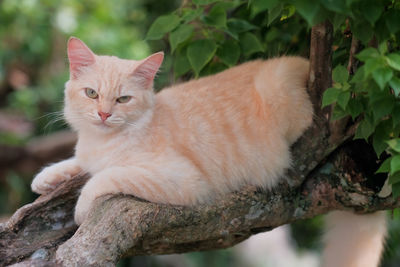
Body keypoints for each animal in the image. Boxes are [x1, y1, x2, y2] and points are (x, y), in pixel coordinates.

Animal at [32, 37, 388, 267]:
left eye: (123, 99)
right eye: (91, 93)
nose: (104, 114)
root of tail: (302, 61)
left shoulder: (182, 178)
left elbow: (103, 178)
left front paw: (80, 207)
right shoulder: (89, 153)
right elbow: (79, 163)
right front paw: (46, 178)